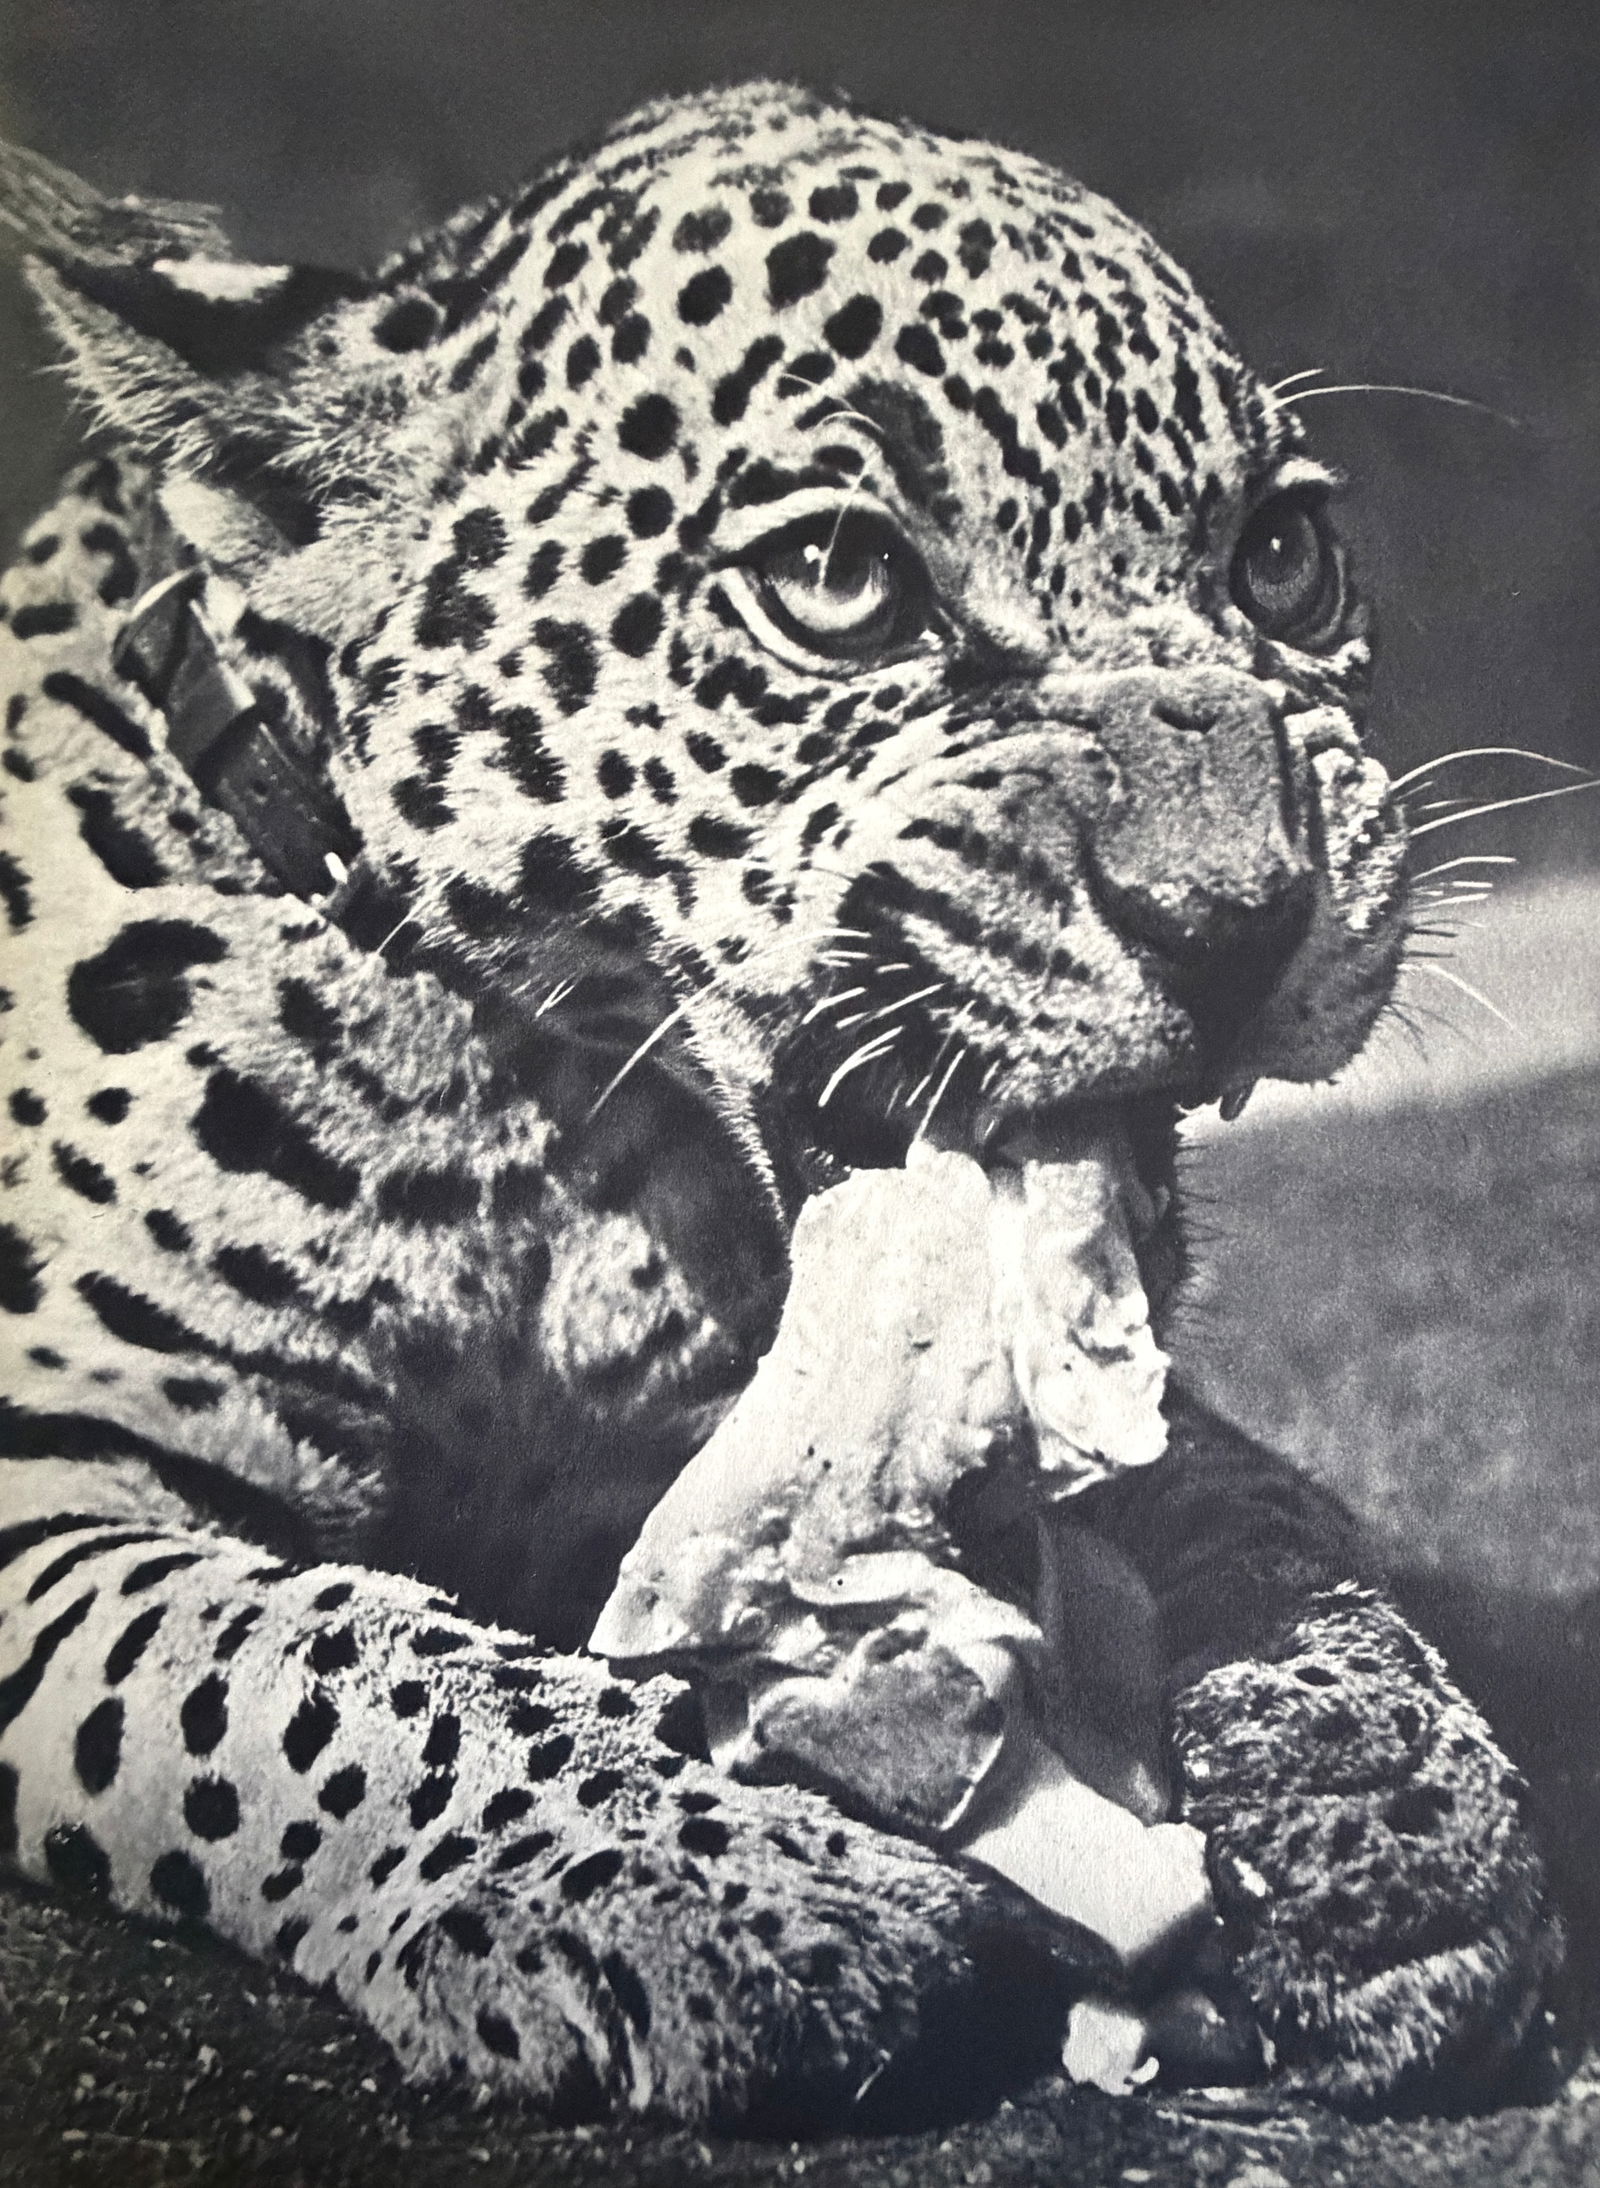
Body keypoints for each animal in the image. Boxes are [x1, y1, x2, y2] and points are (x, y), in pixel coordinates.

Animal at [0, 82, 1563, 2132]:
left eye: (1285, 555)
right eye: (840, 584)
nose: (1242, 912)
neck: (558, 1161)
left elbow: (1267, 1512)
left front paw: (1375, 1795)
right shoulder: (42, 1467)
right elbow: (304, 1659)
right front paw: (696, 1861)